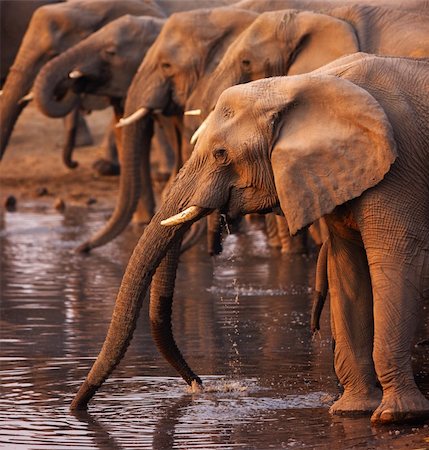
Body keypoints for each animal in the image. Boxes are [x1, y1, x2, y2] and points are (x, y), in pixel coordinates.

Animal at [70, 53, 428, 426]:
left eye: (221, 154)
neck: (299, 85)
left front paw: (394, 417)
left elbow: (394, 261)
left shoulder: (398, 172)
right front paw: (350, 412)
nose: (198, 384)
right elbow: (347, 270)